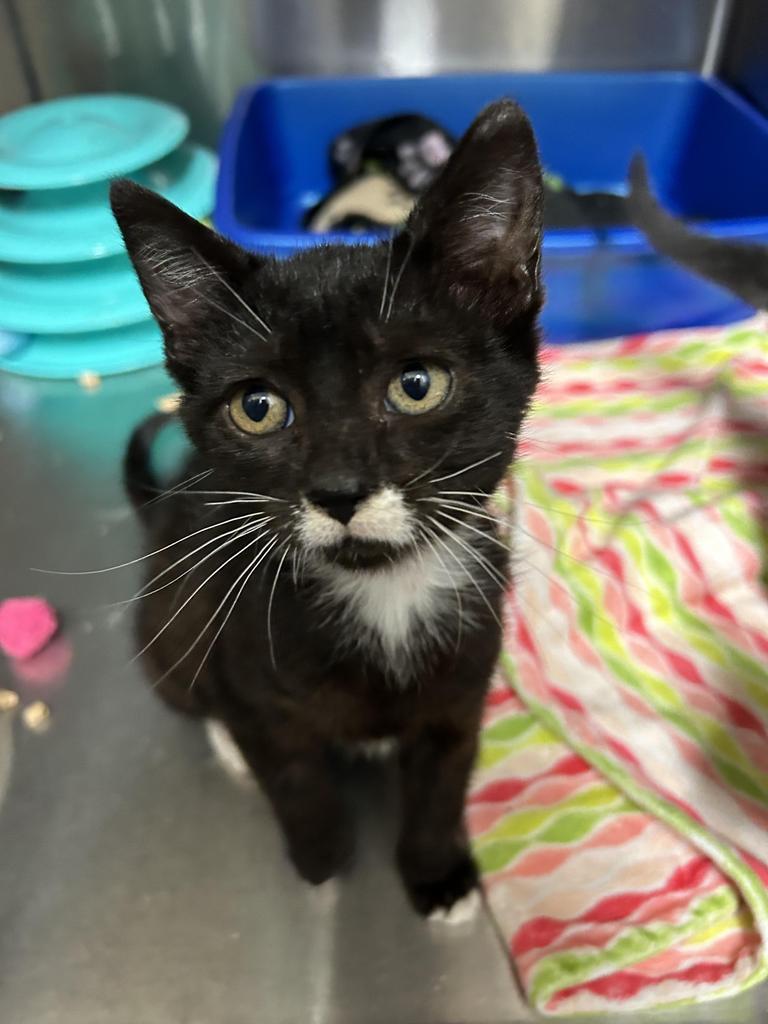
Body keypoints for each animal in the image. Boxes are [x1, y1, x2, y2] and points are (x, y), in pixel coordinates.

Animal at [112, 99, 548, 917]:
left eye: (418, 384)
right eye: (257, 407)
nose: (340, 489)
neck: (386, 589)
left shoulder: (462, 693)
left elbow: (441, 789)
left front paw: (437, 875)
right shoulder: (250, 677)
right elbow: (295, 782)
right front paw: (322, 863)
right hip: (169, 625)